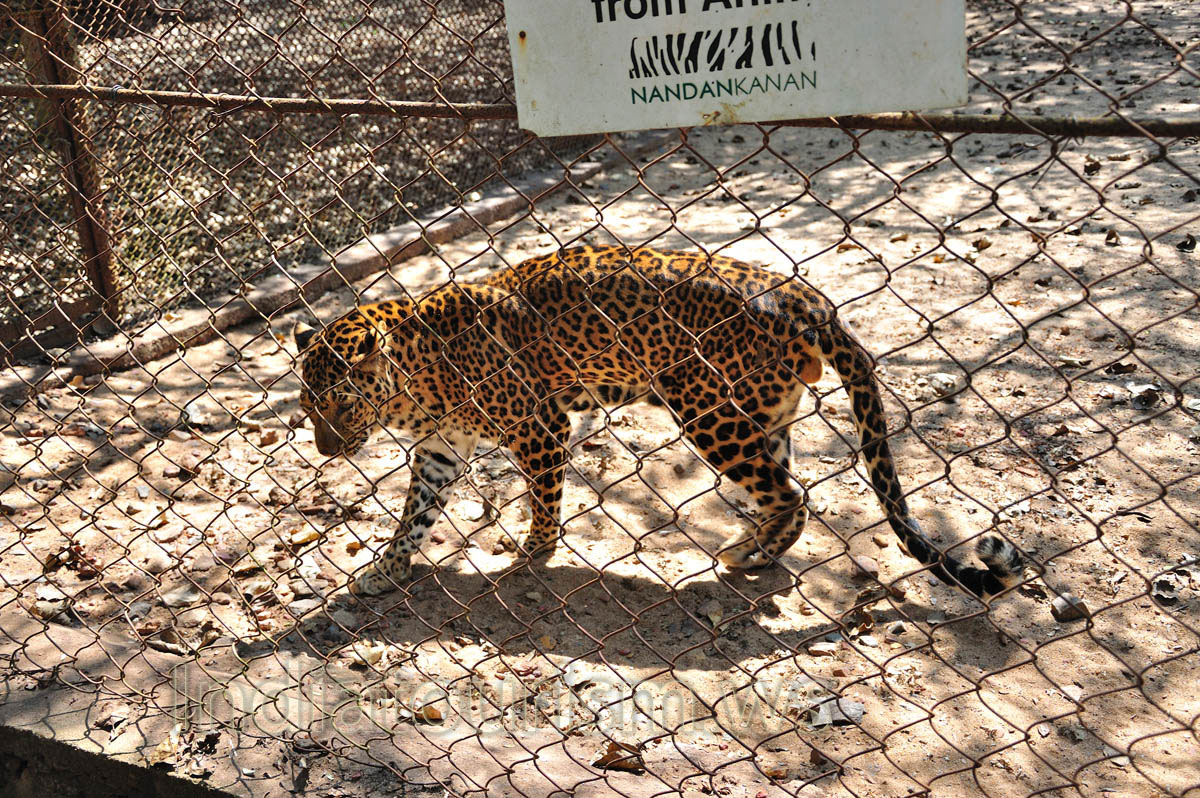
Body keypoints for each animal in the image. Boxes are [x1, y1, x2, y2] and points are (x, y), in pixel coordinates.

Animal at [292, 245, 1024, 599]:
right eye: (307, 407)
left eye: (342, 403)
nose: (327, 451)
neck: (416, 380)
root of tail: (808, 298)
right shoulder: (441, 450)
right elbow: (413, 515)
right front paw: (385, 569)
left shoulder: (540, 427)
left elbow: (545, 500)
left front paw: (533, 553)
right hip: (762, 413)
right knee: (788, 491)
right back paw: (755, 549)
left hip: (708, 412)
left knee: (789, 493)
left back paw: (742, 553)